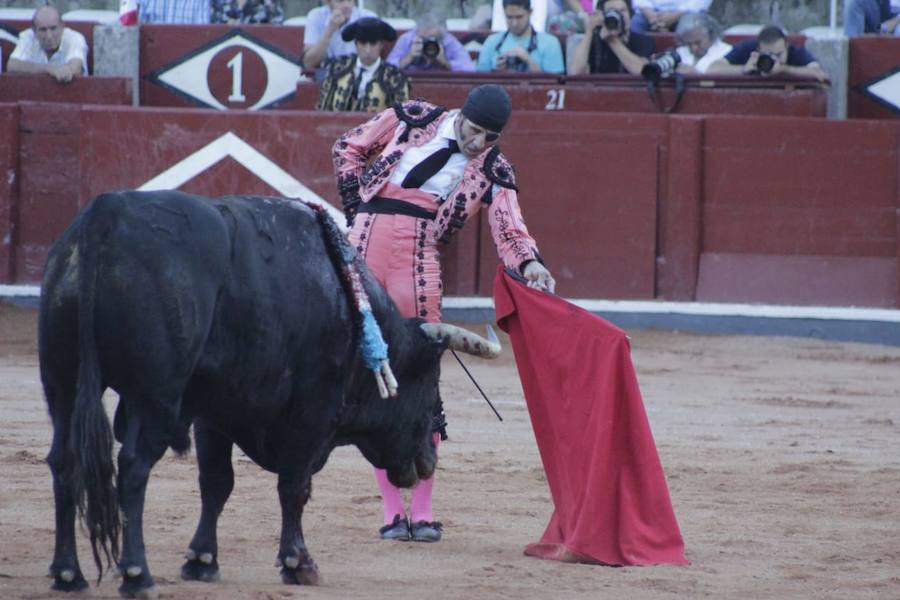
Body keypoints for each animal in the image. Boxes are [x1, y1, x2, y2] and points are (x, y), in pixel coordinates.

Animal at [38, 191, 502, 596]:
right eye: (430, 381)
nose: (427, 461)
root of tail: (106, 215)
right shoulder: (312, 412)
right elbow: (294, 487)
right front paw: (299, 562)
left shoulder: (213, 412)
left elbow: (217, 483)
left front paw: (202, 560)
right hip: (154, 396)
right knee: (133, 467)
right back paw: (137, 575)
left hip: (62, 382)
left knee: (64, 460)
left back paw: (67, 574)